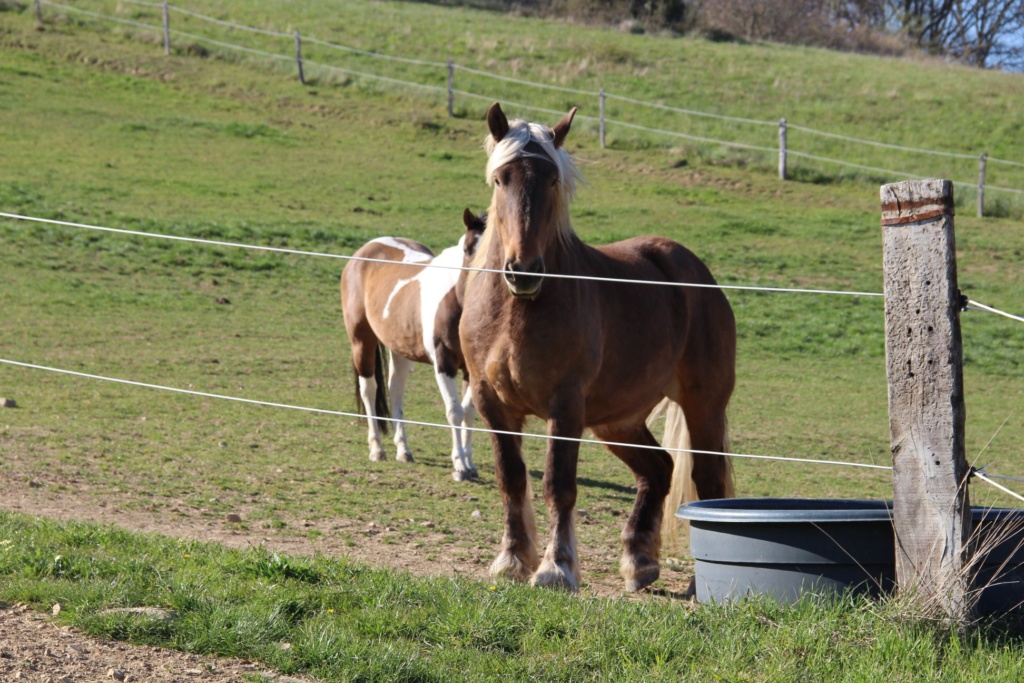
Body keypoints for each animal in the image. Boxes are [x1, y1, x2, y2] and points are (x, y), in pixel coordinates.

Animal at [342, 208, 485, 481]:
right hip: (361, 342)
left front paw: (471, 464)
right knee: (369, 389)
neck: (456, 300)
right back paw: (377, 449)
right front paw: (459, 466)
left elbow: (469, 412)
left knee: (395, 390)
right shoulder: (444, 364)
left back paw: (403, 450)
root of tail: (365, 250)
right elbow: (454, 411)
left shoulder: (472, 368)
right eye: (469, 248)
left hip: (400, 349)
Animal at [458, 102, 737, 593]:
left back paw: (695, 584)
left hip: (703, 405)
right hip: (617, 419)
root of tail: (695, 272)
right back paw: (640, 561)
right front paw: (512, 560)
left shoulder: (565, 405)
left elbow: (559, 484)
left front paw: (556, 567)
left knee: (707, 480)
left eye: (552, 179)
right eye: (501, 178)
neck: (514, 311)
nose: (523, 270)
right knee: (658, 469)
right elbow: (511, 479)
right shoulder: (494, 404)